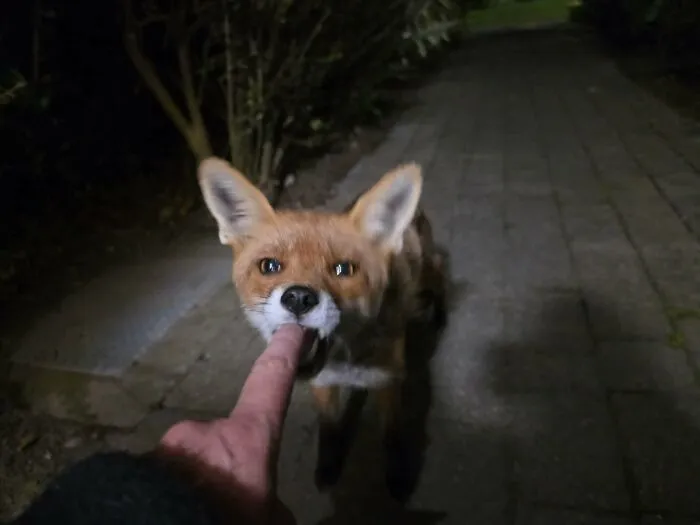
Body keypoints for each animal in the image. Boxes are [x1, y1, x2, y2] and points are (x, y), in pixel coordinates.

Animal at [197, 156, 447, 499]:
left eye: (344, 269)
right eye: (269, 266)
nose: (299, 298)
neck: (347, 359)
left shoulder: (388, 381)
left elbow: (392, 434)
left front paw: (397, 477)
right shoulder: (324, 382)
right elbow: (329, 429)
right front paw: (328, 469)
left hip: (426, 275)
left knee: (439, 273)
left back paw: (440, 315)